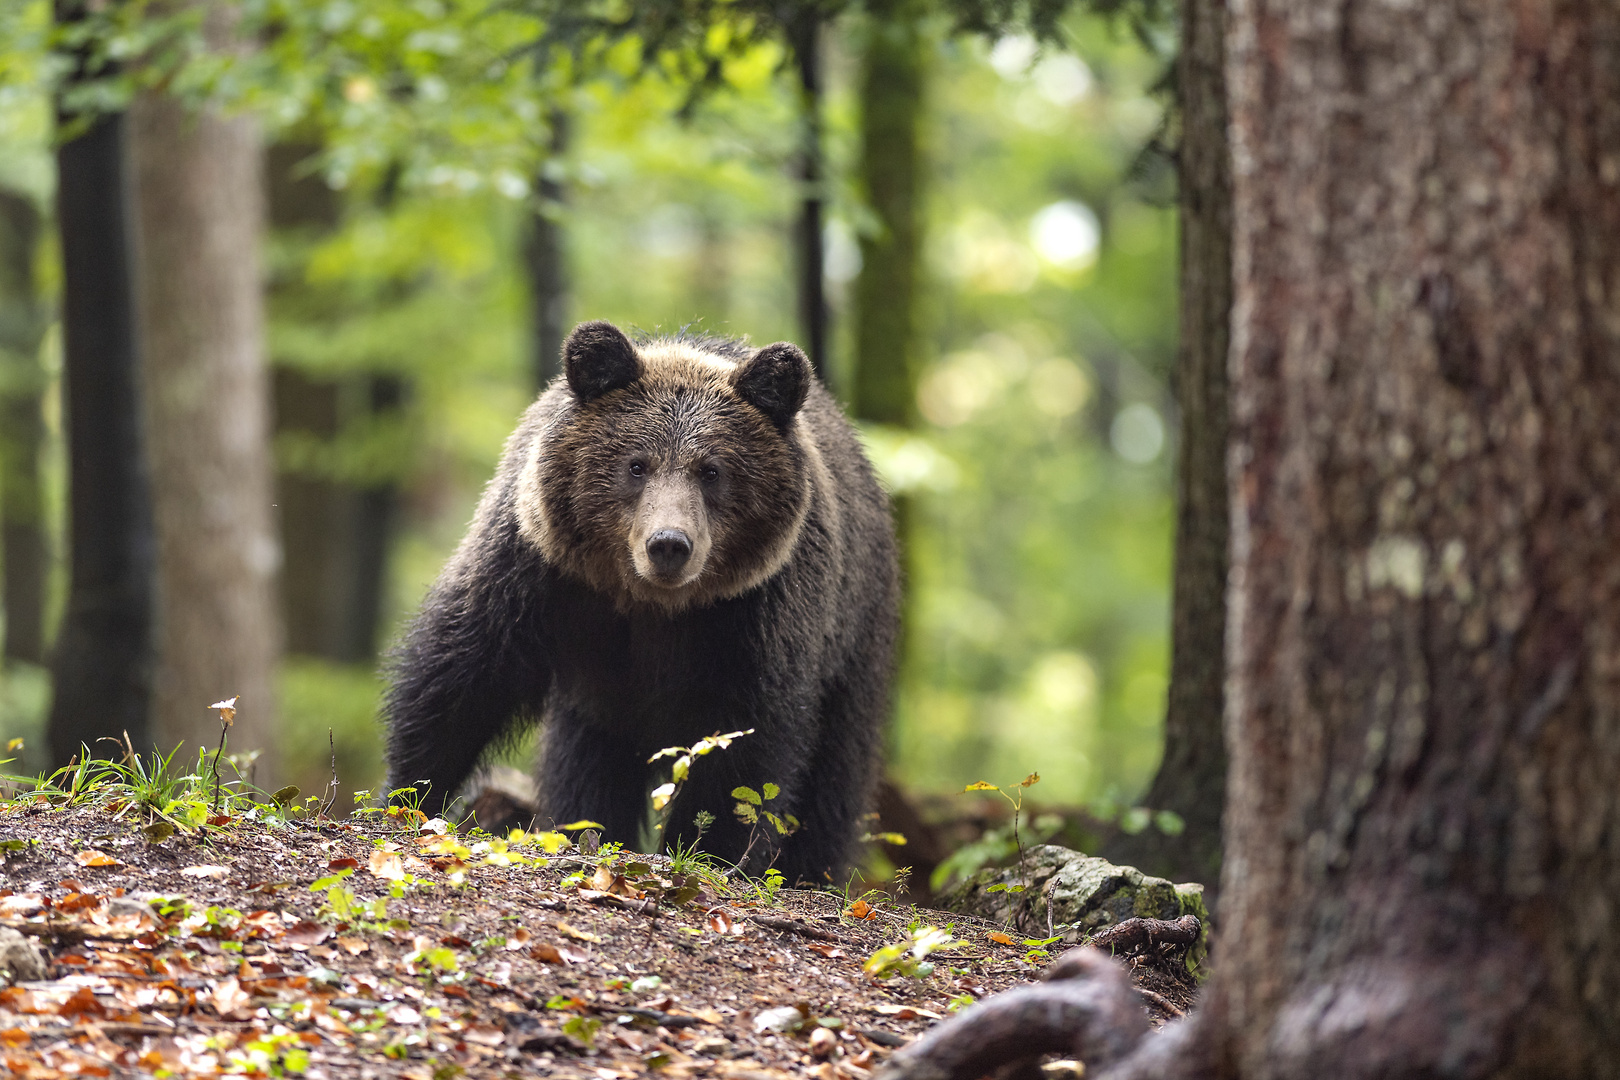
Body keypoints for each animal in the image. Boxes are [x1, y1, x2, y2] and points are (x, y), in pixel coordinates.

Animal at [387, 317, 907, 880]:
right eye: (637, 465)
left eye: (711, 470)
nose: (669, 544)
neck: (649, 603)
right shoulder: (540, 574)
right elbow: (465, 674)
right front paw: (410, 794)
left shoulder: (754, 614)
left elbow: (741, 748)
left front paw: (707, 849)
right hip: (599, 698)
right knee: (587, 760)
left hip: (854, 639)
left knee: (835, 780)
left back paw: (813, 870)